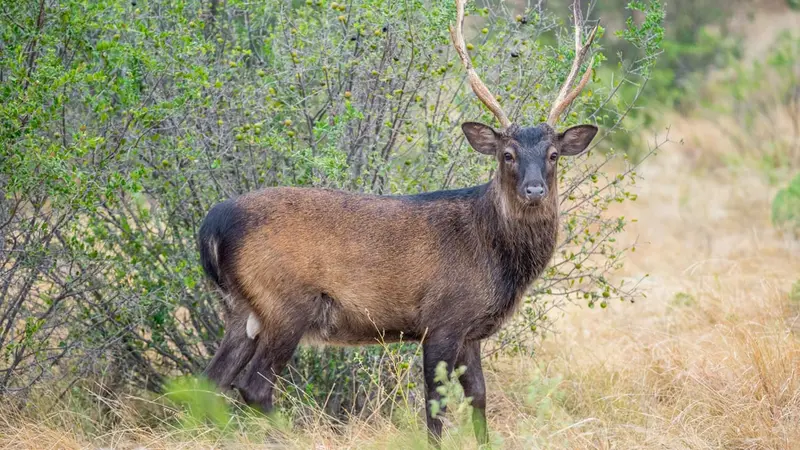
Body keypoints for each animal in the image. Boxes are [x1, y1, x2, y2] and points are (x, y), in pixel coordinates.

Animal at [197, 0, 599, 445]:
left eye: (553, 154)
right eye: (507, 154)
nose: (534, 190)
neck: (493, 256)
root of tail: (213, 223)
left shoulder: (470, 330)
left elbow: (478, 395)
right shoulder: (442, 318)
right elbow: (435, 403)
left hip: (240, 309)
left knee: (208, 381)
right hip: (285, 302)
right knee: (253, 385)